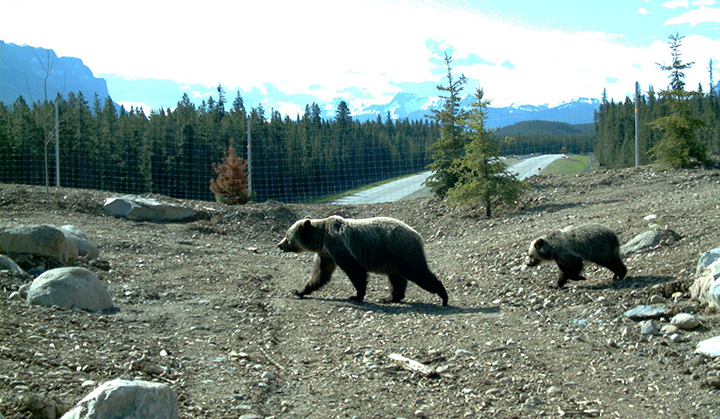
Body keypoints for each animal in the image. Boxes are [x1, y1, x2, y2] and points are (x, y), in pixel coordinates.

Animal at [278, 215, 448, 306]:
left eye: (287, 236)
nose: (279, 245)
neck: (321, 240)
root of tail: (417, 235)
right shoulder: (325, 255)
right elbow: (320, 275)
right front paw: (299, 291)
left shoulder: (339, 245)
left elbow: (355, 270)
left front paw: (356, 296)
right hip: (393, 258)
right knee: (396, 278)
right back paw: (389, 297)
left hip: (401, 251)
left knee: (417, 272)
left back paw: (443, 296)